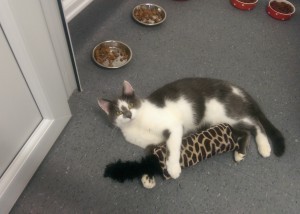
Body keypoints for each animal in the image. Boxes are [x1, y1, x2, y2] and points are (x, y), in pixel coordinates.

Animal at [99, 77, 286, 180]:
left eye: (130, 104)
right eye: (118, 112)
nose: (128, 114)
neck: (139, 124)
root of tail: (235, 87)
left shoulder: (174, 126)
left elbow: (172, 147)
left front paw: (173, 168)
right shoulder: (148, 143)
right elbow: (156, 149)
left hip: (229, 114)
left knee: (256, 124)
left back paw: (264, 147)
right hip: (219, 121)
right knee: (244, 131)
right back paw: (240, 153)